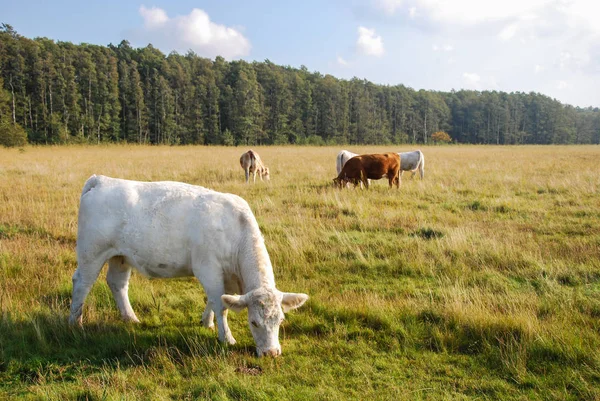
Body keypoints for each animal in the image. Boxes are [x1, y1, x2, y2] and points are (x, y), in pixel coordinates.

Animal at [69, 175, 310, 356]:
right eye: (253, 322)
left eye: (281, 320)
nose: (271, 353)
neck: (236, 230)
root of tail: (101, 180)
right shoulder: (208, 268)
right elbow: (220, 304)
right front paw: (227, 338)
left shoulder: (225, 276)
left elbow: (215, 300)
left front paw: (207, 322)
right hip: (91, 253)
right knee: (82, 283)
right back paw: (75, 323)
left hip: (120, 256)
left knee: (117, 284)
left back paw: (131, 318)